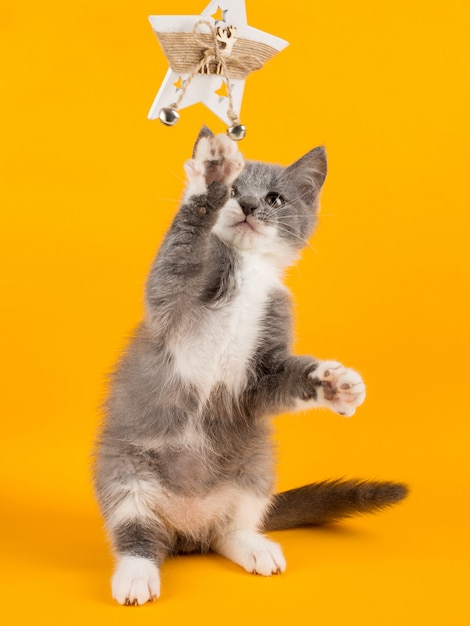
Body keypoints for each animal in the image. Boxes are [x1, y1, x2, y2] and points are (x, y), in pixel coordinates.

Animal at [93, 128, 406, 604]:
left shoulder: (264, 360)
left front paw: (337, 385)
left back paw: (252, 546)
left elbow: (277, 383)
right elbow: (175, 260)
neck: (248, 270)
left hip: (254, 466)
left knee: (226, 529)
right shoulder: (171, 299)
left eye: (275, 198)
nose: (248, 205)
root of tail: (186, 531)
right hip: (125, 469)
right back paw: (136, 574)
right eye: (236, 191)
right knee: (137, 529)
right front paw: (210, 175)